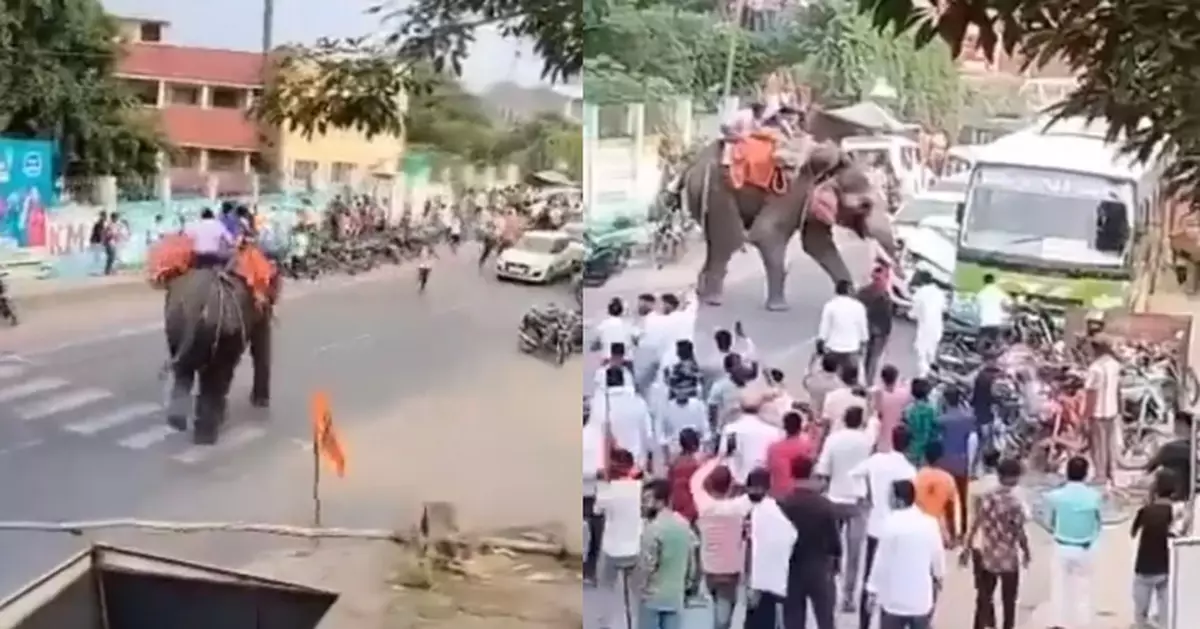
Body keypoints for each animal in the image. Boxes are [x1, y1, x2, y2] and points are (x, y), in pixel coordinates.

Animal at [159, 265, 270, 446]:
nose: (260, 402)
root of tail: (195, 304)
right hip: (217, 328)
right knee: (215, 376)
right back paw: (205, 437)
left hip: (175, 323)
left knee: (185, 371)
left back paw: (177, 423)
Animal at [681, 135, 897, 309]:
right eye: (865, 205)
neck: (834, 167)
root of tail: (692, 165)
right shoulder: (792, 191)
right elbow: (766, 233)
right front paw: (779, 308)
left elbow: (818, 243)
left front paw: (851, 297)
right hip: (718, 189)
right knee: (730, 240)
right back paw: (713, 301)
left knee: (714, 242)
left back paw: (701, 294)